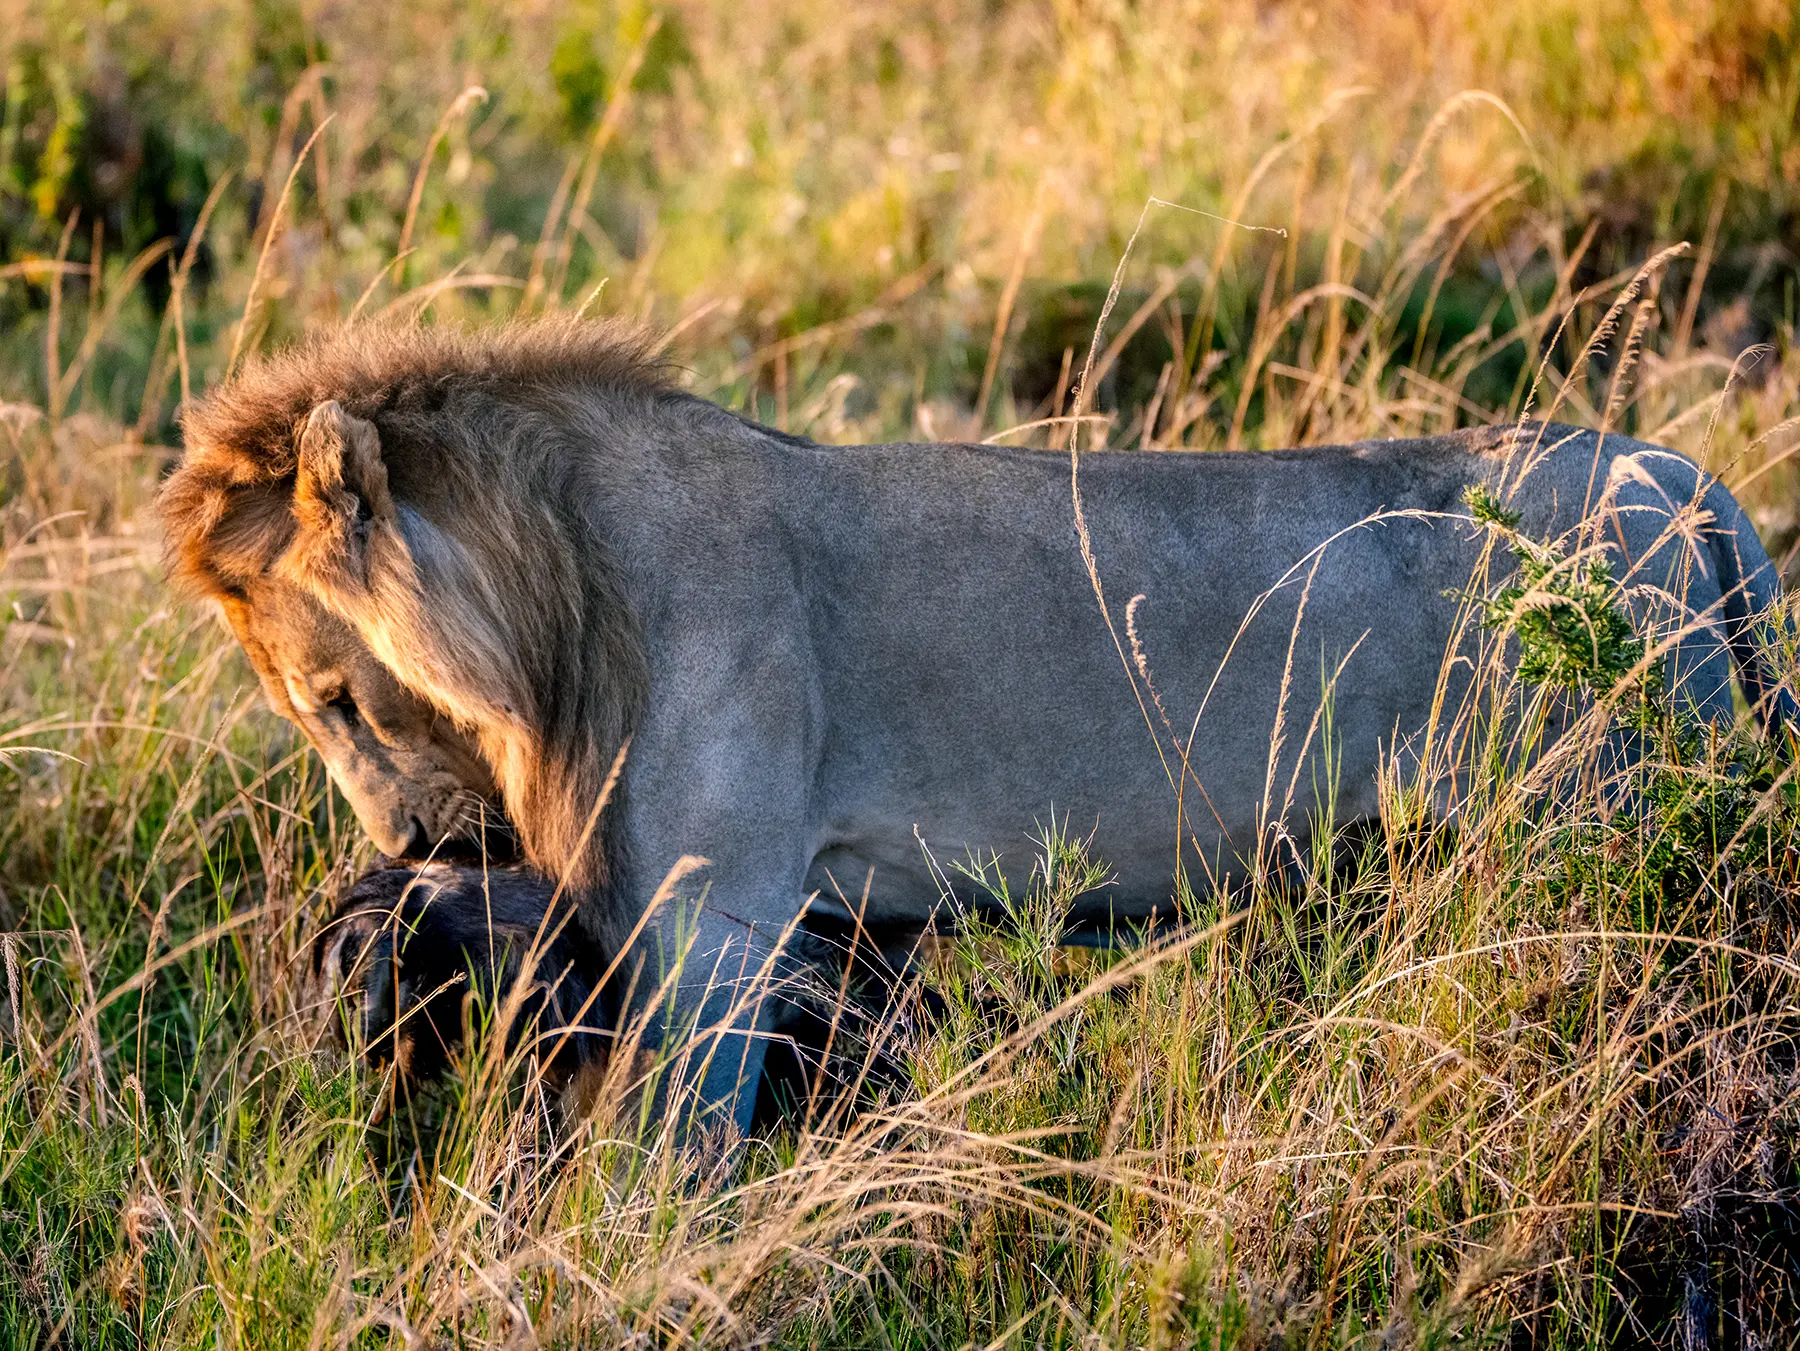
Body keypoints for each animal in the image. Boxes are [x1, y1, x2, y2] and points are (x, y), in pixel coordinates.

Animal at [161, 317, 1795, 1134]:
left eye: (330, 695)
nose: (414, 840)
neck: (556, 614)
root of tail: (1678, 472)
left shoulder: (719, 934)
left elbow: (664, 1161)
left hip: (1612, 848)